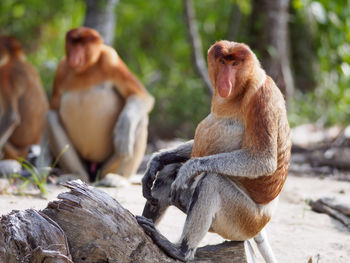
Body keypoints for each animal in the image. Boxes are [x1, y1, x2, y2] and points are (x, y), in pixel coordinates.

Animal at [47, 27, 154, 184]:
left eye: (83, 44)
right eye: (73, 43)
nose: (73, 57)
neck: (87, 69)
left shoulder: (111, 60)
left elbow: (140, 95)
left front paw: (123, 130)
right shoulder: (61, 69)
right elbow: (53, 108)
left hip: (107, 166)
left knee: (142, 119)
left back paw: (117, 178)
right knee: (52, 117)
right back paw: (76, 175)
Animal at [138, 41, 292, 263]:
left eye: (235, 64)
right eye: (222, 62)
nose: (225, 82)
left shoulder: (262, 98)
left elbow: (263, 159)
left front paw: (189, 168)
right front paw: (156, 160)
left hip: (242, 220)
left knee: (212, 181)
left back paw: (180, 251)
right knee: (169, 173)